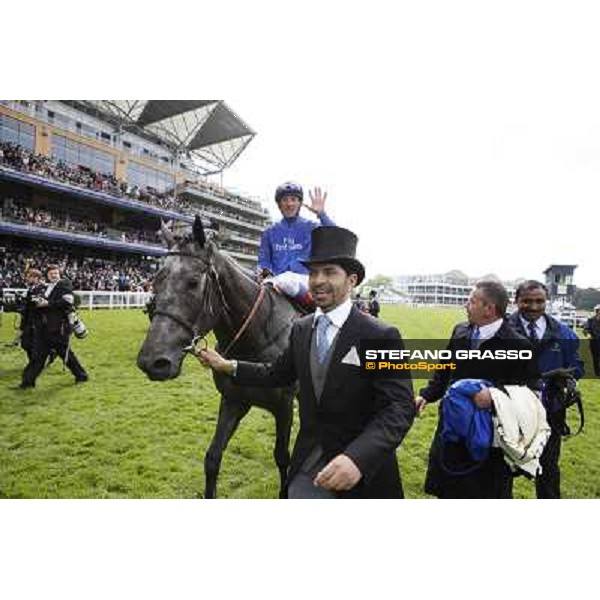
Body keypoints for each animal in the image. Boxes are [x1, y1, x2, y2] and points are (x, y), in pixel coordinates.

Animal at [139, 216, 300, 496]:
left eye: (193, 282)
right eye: (155, 281)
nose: (153, 362)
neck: (258, 337)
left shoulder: (284, 406)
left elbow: (282, 456)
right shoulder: (234, 400)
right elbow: (212, 457)